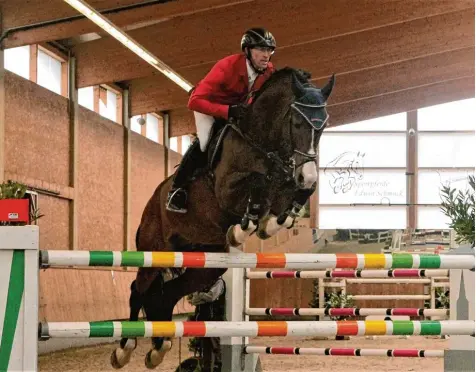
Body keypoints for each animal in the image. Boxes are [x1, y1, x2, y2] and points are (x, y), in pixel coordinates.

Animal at [110, 67, 334, 370]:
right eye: (297, 123)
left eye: (322, 127)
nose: (307, 173)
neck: (262, 143)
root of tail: (152, 203)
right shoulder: (227, 189)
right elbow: (257, 182)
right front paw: (244, 228)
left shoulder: (287, 184)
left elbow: (296, 195)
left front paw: (271, 223)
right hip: (154, 250)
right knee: (139, 288)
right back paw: (124, 349)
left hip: (207, 261)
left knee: (168, 293)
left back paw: (158, 348)